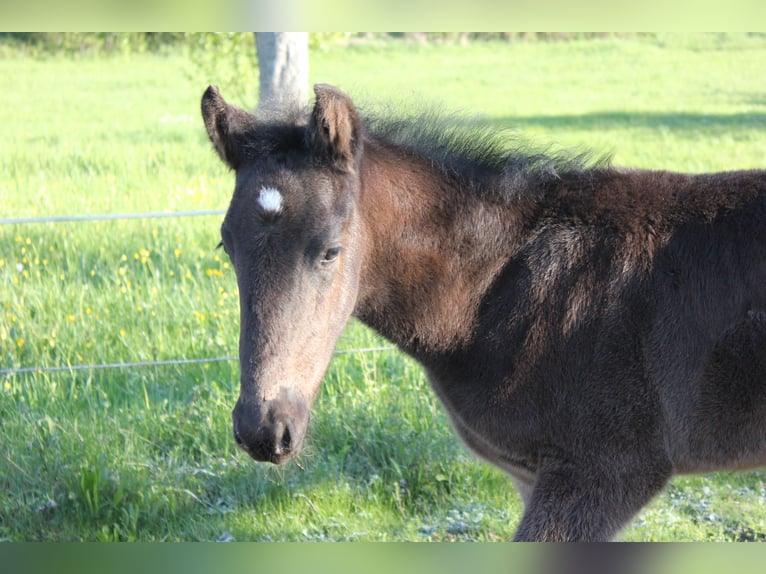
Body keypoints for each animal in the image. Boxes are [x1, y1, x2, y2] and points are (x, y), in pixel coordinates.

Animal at [201, 83, 766, 541]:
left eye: (330, 250)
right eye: (226, 245)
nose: (263, 428)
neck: (502, 289)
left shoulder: (604, 472)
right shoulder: (531, 476)